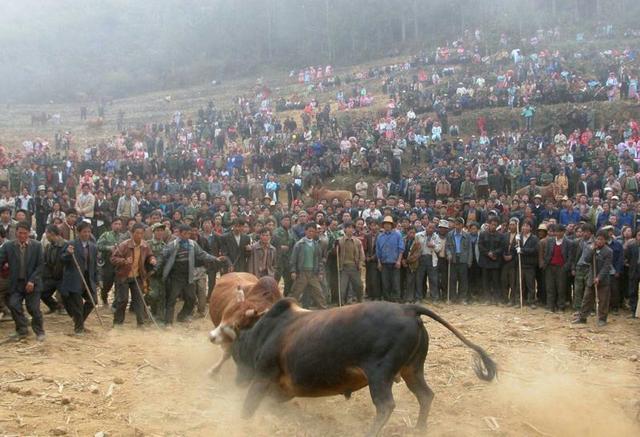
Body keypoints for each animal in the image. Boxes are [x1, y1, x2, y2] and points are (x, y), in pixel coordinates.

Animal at [230, 298, 496, 434]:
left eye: (235, 354)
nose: (237, 380)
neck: (265, 333)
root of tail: (407, 308)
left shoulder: (263, 375)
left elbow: (248, 406)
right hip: (412, 370)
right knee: (425, 395)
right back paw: (420, 429)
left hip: (380, 374)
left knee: (386, 405)